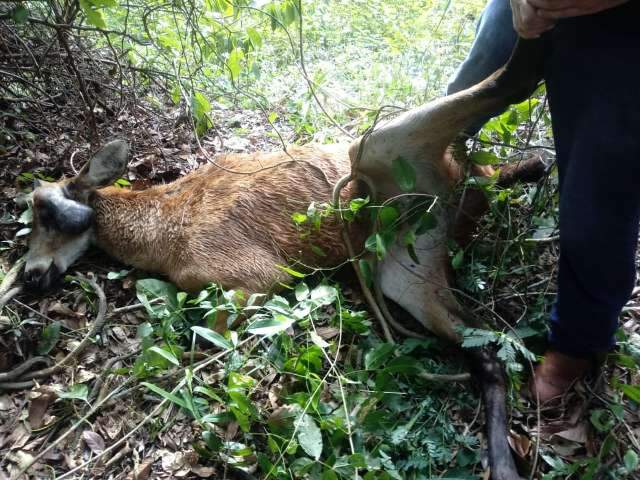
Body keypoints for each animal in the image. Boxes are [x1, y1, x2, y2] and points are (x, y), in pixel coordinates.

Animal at [21, 39, 544, 478]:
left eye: (44, 210)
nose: (29, 276)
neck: (160, 232)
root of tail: (461, 194)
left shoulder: (253, 274)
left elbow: (210, 338)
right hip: (404, 268)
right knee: (489, 351)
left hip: (376, 148)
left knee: (509, 88)